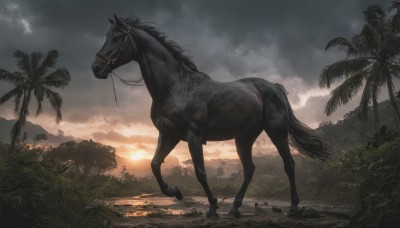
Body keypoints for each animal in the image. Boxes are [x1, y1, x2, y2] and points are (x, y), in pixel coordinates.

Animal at [92, 15, 330, 218]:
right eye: (107, 35)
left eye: (116, 37)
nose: (96, 67)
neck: (175, 86)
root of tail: (274, 87)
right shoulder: (168, 135)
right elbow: (154, 165)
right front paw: (176, 191)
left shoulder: (193, 136)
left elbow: (200, 172)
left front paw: (213, 208)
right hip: (244, 137)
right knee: (249, 169)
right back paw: (234, 209)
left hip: (277, 132)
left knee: (289, 165)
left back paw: (293, 207)